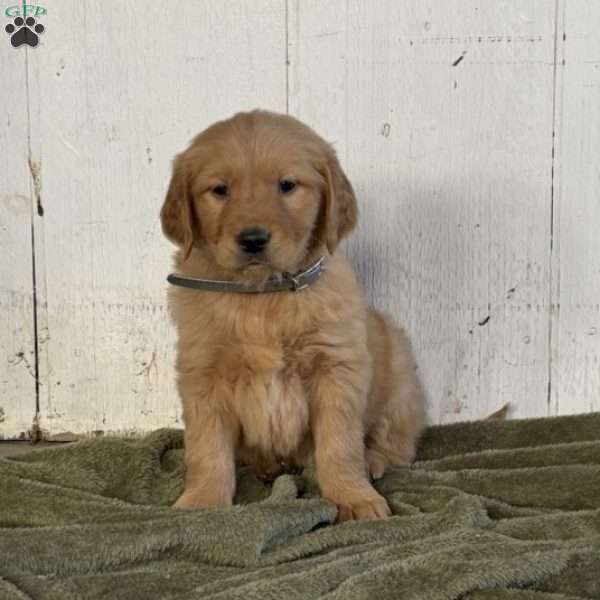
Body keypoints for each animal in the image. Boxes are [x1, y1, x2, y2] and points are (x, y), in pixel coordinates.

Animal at [158, 109, 422, 520]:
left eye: (287, 185)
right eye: (220, 190)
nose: (253, 239)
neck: (264, 295)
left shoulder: (337, 368)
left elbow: (339, 444)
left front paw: (352, 495)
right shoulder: (202, 374)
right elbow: (206, 448)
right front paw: (202, 501)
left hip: (398, 373)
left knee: (398, 444)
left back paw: (374, 461)